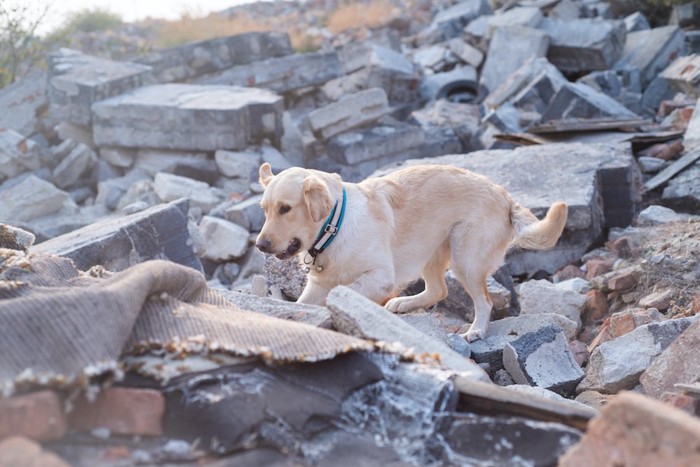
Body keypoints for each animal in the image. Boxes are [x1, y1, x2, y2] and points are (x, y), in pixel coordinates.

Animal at [258, 163, 568, 342]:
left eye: (285, 208)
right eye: (265, 209)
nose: (260, 245)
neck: (335, 225)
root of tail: (504, 195)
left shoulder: (380, 277)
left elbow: (344, 291)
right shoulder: (317, 284)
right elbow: (303, 304)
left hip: (464, 258)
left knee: (484, 302)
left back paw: (477, 330)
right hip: (431, 251)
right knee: (439, 290)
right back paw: (404, 304)